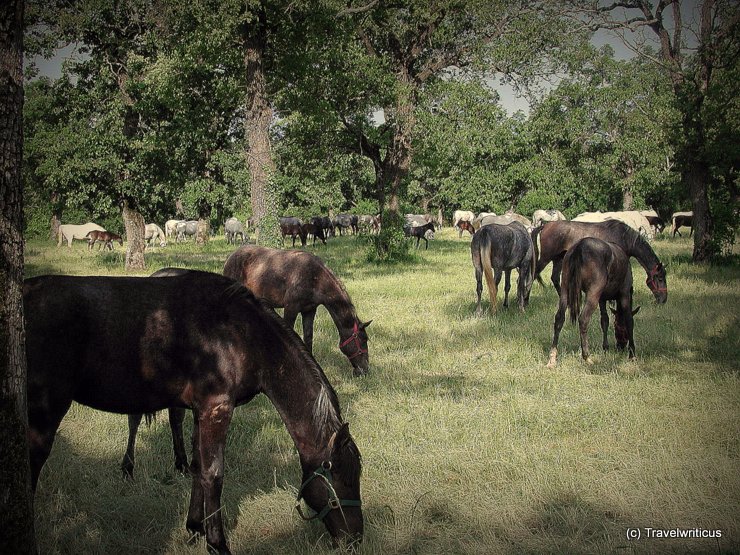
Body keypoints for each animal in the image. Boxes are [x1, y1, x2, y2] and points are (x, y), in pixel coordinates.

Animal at [24, 274, 366, 555]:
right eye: (343, 477)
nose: (355, 539)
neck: (242, 334)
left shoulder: (203, 411)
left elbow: (198, 467)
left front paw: (194, 527)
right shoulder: (217, 409)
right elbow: (213, 474)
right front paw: (217, 543)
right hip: (42, 414)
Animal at [220, 248, 370, 378]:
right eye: (363, 340)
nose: (365, 370)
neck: (315, 278)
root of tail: (230, 257)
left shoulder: (309, 310)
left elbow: (308, 336)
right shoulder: (291, 308)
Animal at [528, 218, 668, 304]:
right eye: (660, 279)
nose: (663, 300)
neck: (624, 237)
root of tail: (545, 225)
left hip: (558, 259)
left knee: (555, 278)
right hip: (546, 258)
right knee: (534, 274)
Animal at [544, 238, 640, 370]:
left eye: (616, 326)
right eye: (619, 328)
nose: (620, 346)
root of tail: (579, 247)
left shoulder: (602, 299)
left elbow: (604, 320)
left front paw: (605, 348)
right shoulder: (624, 293)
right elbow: (629, 320)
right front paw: (632, 354)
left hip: (565, 287)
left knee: (559, 318)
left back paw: (552, 358)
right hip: (593, 292)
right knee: (583, 319)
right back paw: (586, 356)